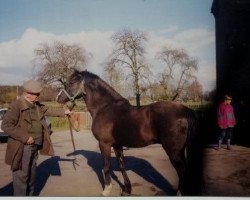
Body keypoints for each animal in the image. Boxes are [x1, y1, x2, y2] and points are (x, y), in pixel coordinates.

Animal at [56, 70, 199, 195]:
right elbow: (121, 166)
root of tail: (185, 111)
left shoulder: (104, 144)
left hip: (174, 152)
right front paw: (127, 190)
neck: (104, 108)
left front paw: (106, 190)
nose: (58, 98)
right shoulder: (117, 145)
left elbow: (106, 166)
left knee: (182, 171)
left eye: (71, 83)